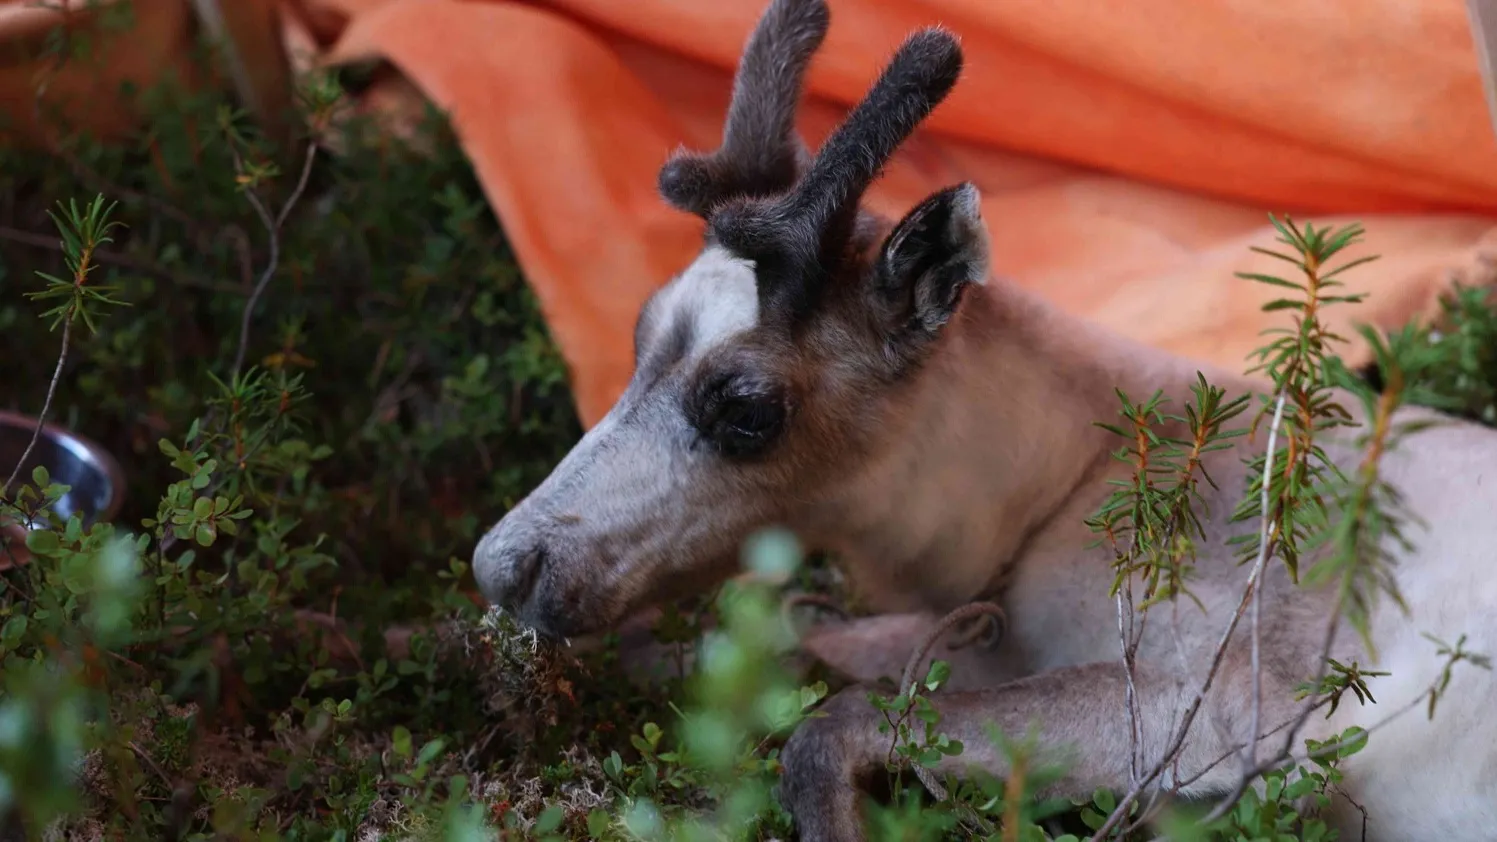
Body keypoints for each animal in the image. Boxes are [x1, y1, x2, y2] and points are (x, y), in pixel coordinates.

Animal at [473, 3, 1497, 833]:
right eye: (638, 334)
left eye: (749, 410)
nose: (500, 566)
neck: (1050, 492)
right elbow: (773, 650)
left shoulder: (1229, 710)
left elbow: (826, 724)